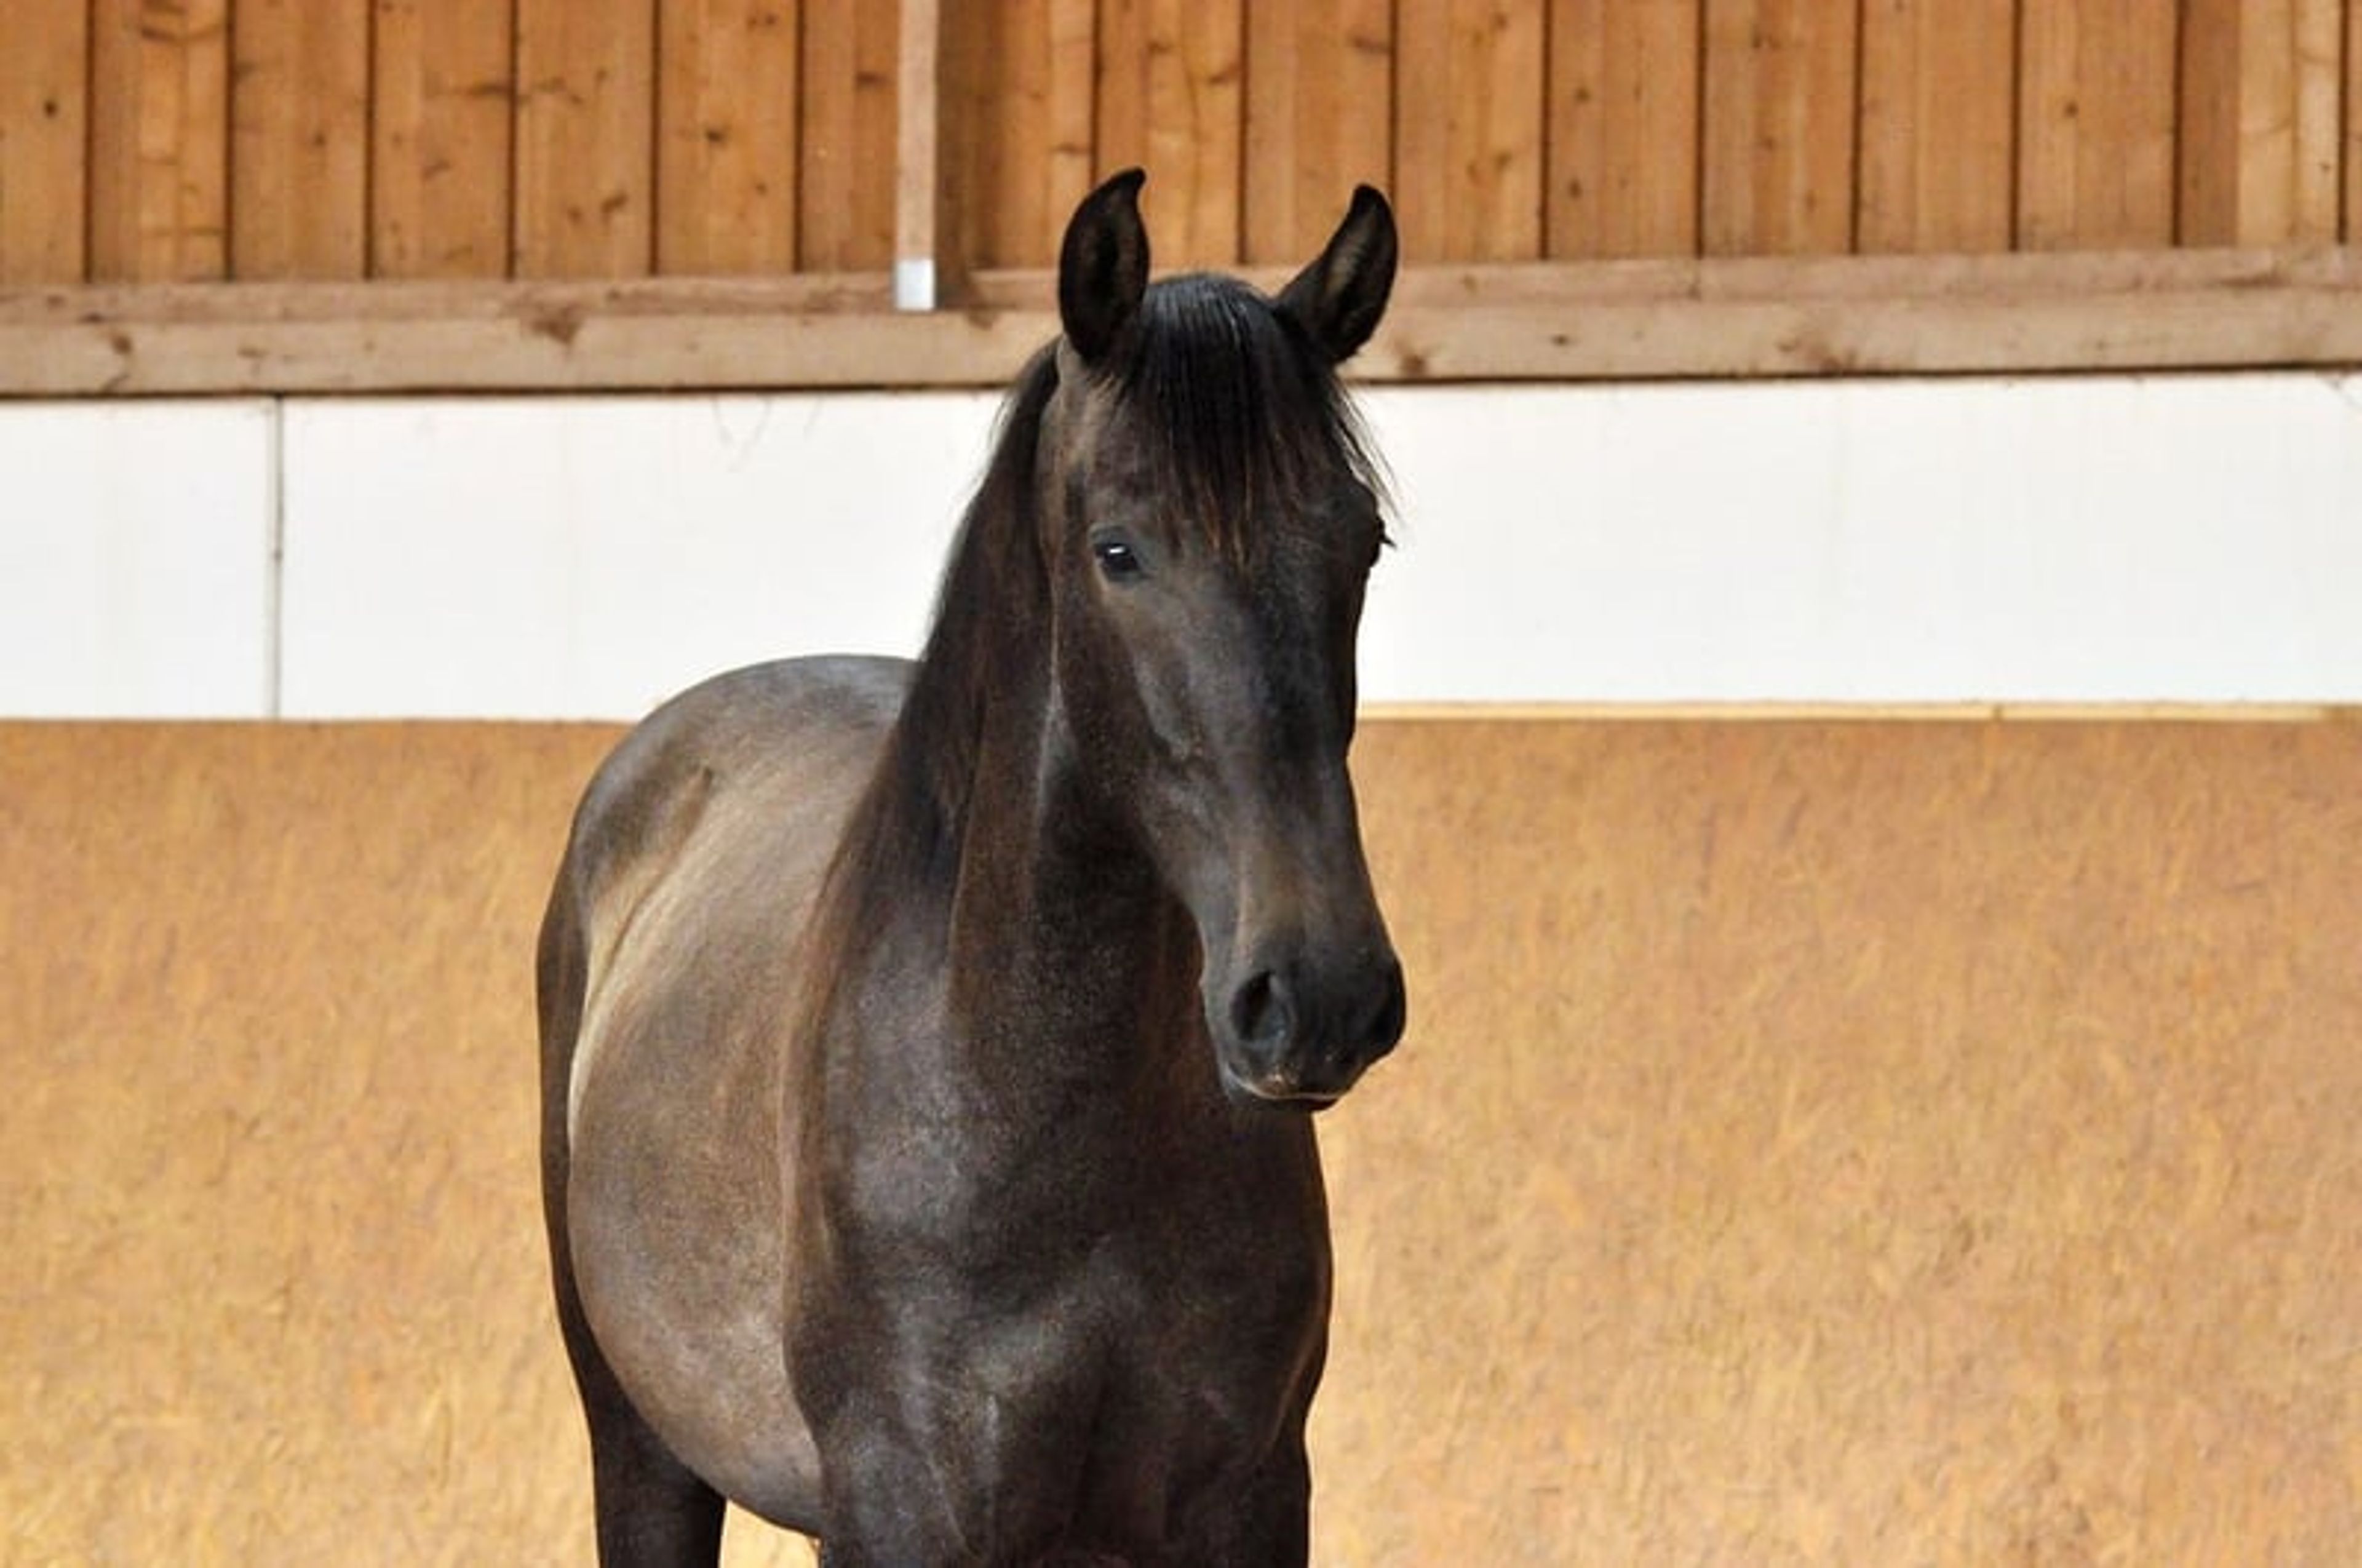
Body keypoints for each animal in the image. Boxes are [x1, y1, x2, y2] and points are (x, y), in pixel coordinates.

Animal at [538, 168, 1407, 1566]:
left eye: (1361, 543)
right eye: (1119, 549)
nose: (1320, 993)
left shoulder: (1248, 1501)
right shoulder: (899, 1509)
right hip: (640, 1446)